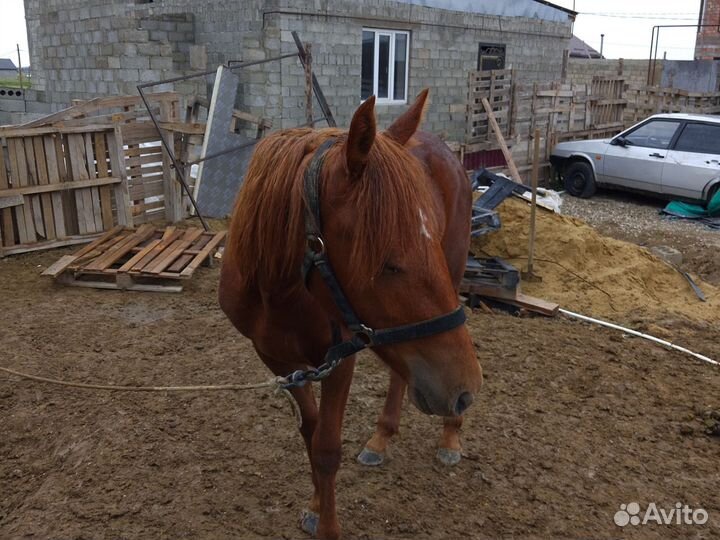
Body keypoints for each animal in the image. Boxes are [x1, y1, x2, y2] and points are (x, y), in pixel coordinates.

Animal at [219, 89, 483, 540]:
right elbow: (310, 435)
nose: (464, 390)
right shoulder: (279, 362)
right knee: (400, 371)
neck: (281, 289)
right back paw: (382, 438)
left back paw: (450, 437)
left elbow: (326, 447)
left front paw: (327, 524)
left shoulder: (339, 360)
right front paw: (314, 505)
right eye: (388, 263)